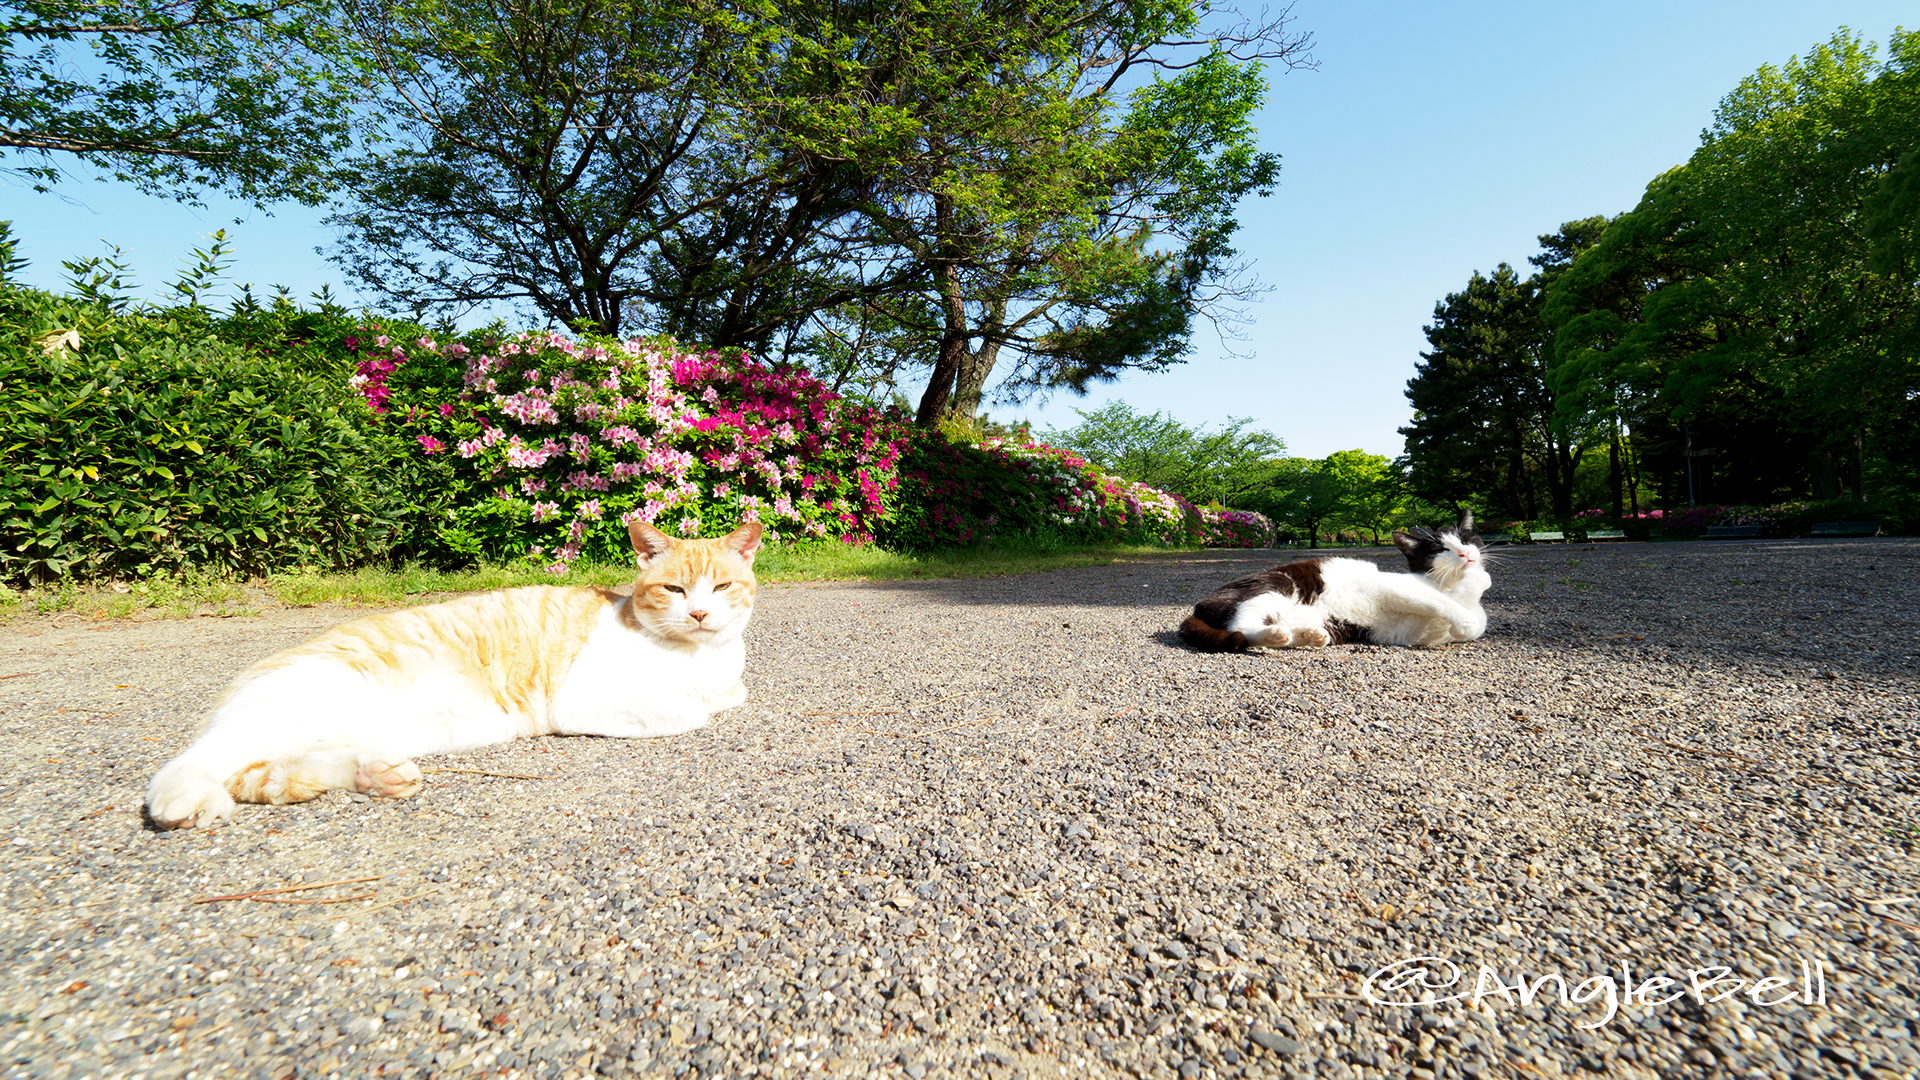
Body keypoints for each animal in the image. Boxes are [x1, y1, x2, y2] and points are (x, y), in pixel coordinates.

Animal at [145, 518, 760, 822]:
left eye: (722, 587)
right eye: (675, 589)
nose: (700, 613)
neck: (700, 657)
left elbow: (732, 694)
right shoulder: (589, 701)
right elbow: (692, 712)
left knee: (262, 771)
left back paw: (376, 774)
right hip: (292, 706)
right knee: (196, 763)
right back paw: (184, 801)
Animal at [1175, 511, 1489, 653]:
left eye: (1465, 539)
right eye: (1440, 549)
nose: (1464, 554)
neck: (1449, 586)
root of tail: (1197, 607)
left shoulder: (1413, 633)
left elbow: (1478, 616)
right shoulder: (1400, 588)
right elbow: (1450, 602)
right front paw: (1465, 617)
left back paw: (1307, 635)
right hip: (1276, 585)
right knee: (1241, 628)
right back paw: (1274, 634)